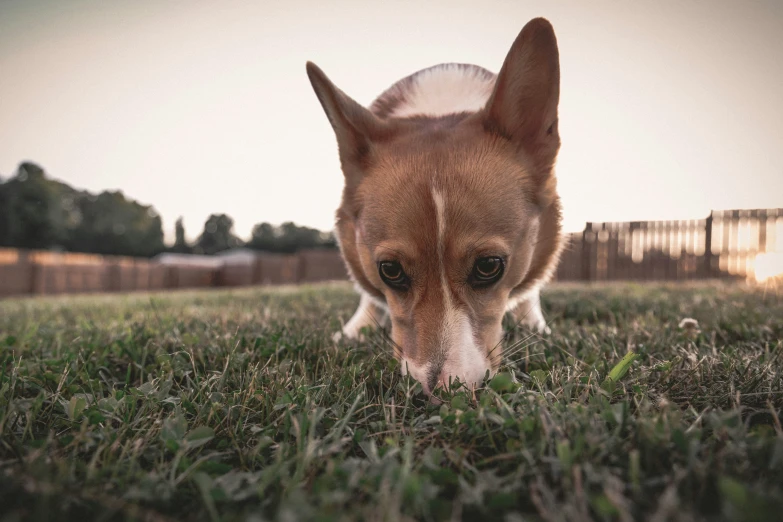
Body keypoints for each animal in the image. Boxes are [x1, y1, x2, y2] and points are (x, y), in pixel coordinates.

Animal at [306, 17, 564, 394]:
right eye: (390, 270)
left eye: (489, 266)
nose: (438, 391)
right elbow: (367, 294)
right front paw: (356, 328)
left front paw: (535, 323)